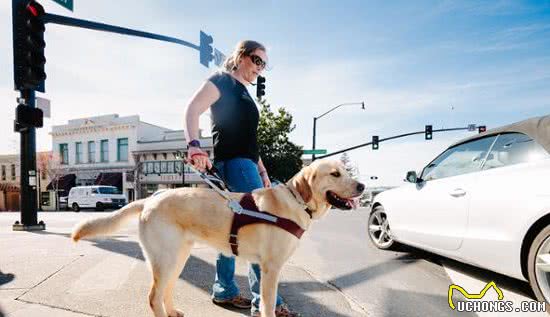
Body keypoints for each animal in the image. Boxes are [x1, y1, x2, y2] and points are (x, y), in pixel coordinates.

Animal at [72, 159, 366, 316]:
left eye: (346, 172)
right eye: (335, 174)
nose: (363, 186)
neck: (297, 202)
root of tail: (150, 198)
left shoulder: (264, 266)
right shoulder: (271, 268)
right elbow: (268, 305)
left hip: (177, 258)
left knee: (166, 290)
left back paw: (173, 311)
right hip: (166, 258)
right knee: (153, 296)